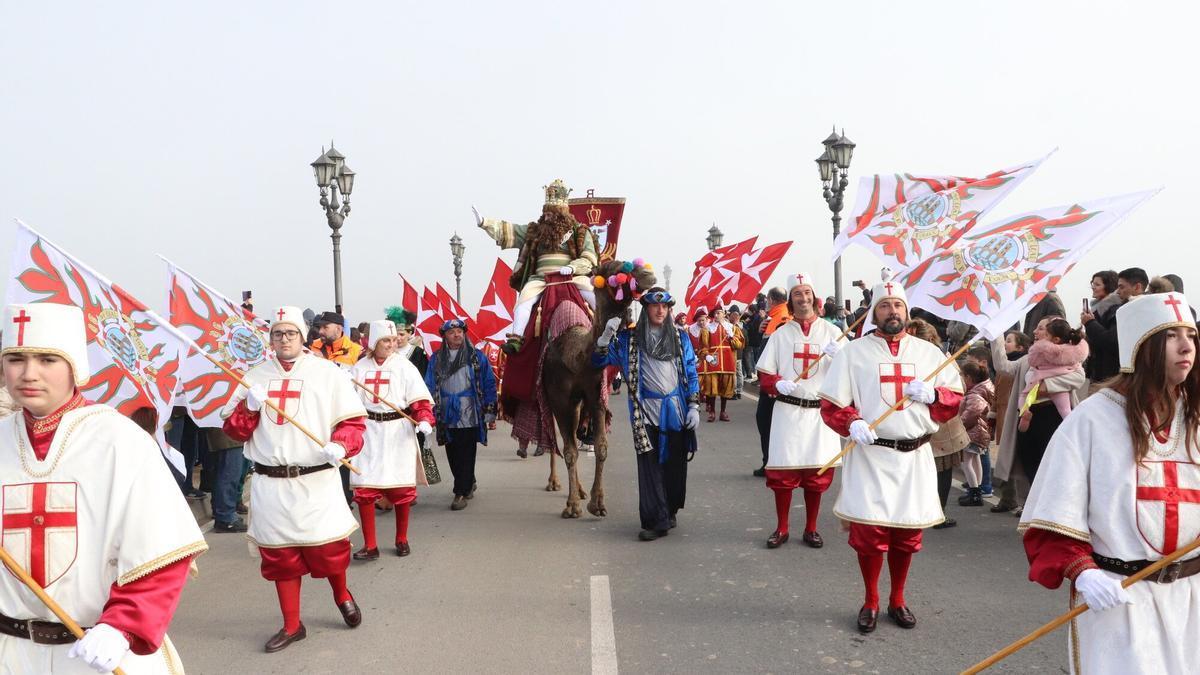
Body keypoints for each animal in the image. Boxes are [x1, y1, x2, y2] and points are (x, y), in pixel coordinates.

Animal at [542, 257, 657, 514]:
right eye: (615, 270)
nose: (648, 275)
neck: (575, 356)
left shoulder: (595, 394)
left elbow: (601, 447)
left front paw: (597, 503)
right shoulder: (558, 399)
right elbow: (569, 451)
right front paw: (573, 506)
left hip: (576, 405)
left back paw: (580, 489)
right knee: (555, 441)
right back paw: (554, 483)